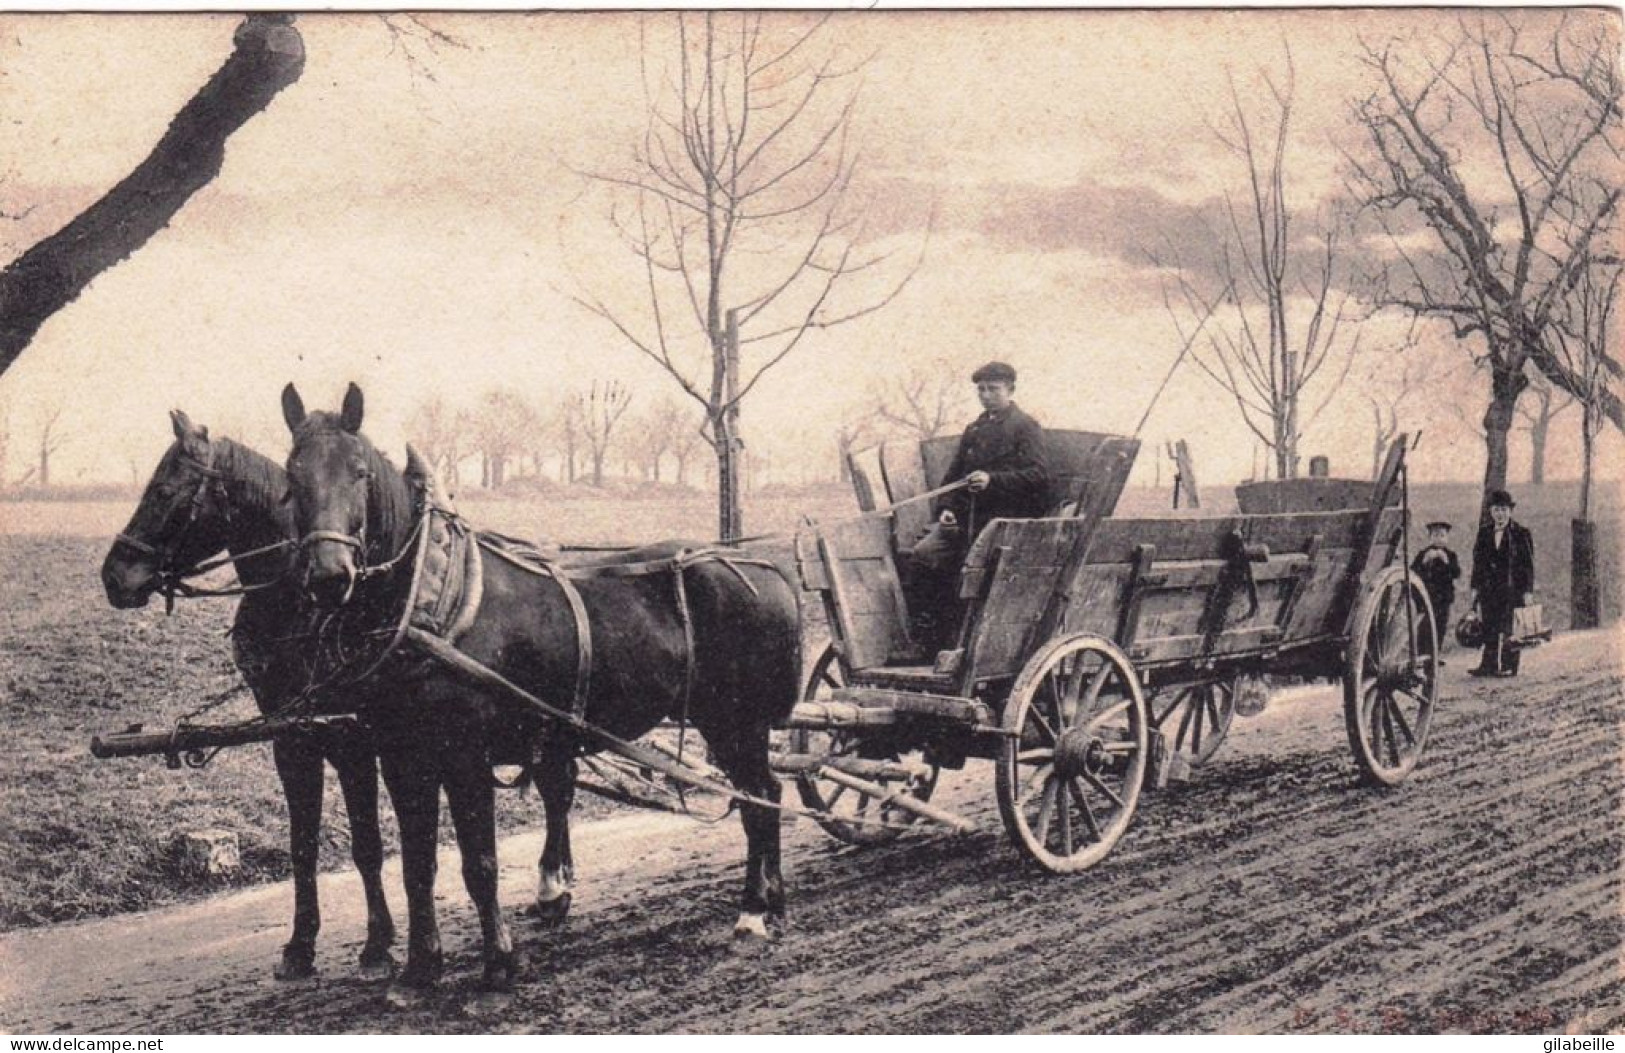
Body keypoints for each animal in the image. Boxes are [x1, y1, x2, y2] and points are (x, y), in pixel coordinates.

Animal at [99, 409, 394, 981]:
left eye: (163, 490)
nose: (114, 576)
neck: (297, 605)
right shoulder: (291, 738)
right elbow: (301, 845)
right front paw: (301, 944)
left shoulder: (351, 738)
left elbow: (367, 843)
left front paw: (378, 944)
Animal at [286, 381, 806, 1007]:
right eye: (292, 476)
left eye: (359, 472)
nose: (328, 575)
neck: (431, 601)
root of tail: (763, 567)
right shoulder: (403, 758)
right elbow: (417, 865)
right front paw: (419, 970)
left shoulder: (465, 756)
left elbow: (479, 863)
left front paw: (498, 966)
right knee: (762, 793)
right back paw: (770, 899)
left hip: (736, 721)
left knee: (759, 796)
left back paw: (753, 910)